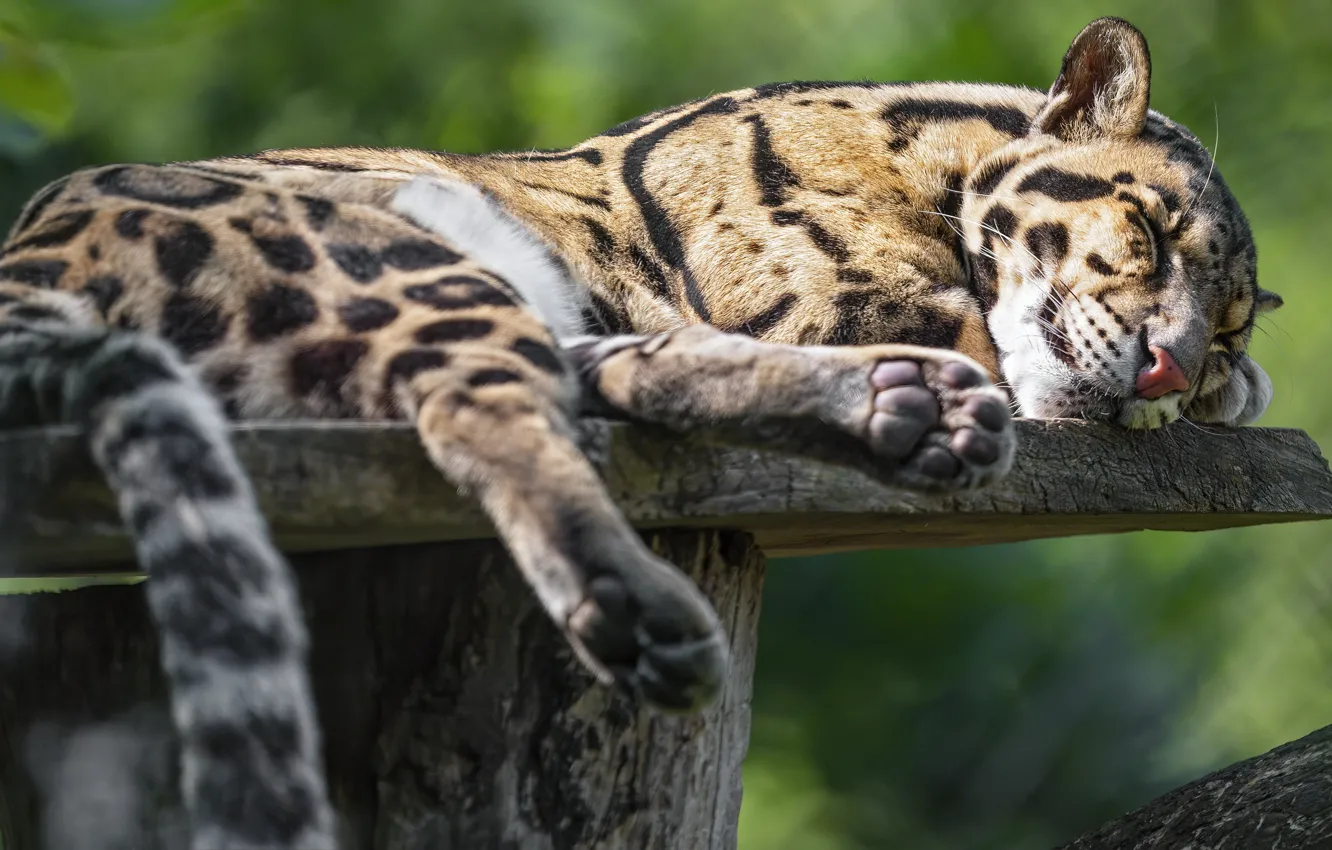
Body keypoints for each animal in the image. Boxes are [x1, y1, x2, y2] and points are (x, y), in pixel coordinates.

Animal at [0, 15, 1278, 849]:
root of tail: (27, 273)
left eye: (1222, 324)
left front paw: (1232, 392)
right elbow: (994, 343)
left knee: (602, 375)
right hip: (388, 259)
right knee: (481, 406)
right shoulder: (844, 298)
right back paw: (645, 609)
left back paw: (902, 407)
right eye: (1148, 228)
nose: (1174, 362)